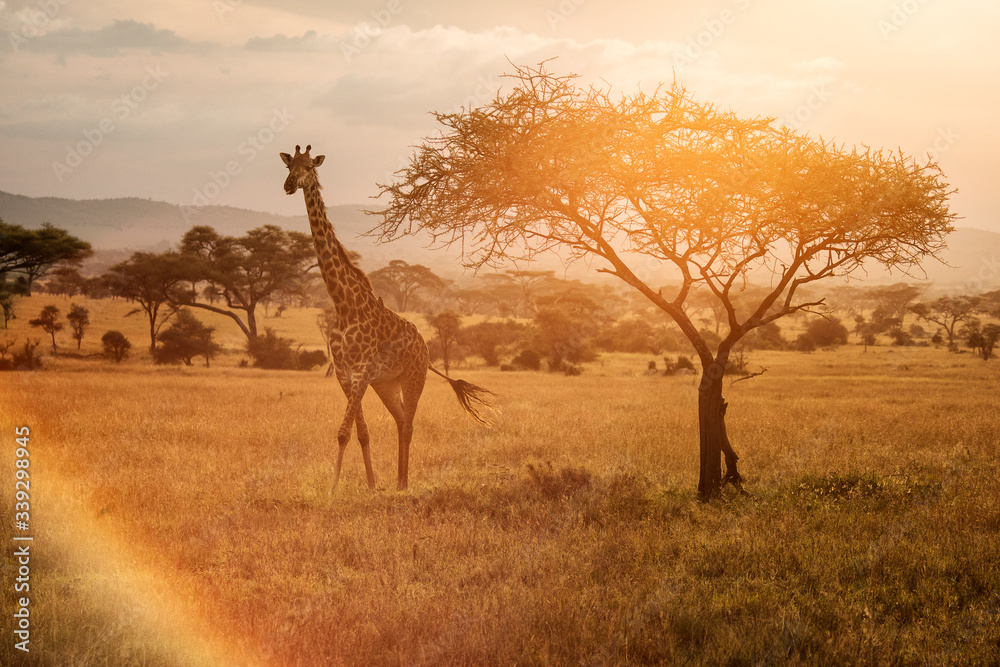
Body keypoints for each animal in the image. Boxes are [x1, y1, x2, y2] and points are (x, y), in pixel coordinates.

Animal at [282, 145, 492, 490]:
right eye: (289, 166)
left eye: (309, 167)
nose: (288, 185)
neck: (343, 304)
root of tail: (425, 347)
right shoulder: (345, 373)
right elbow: (361, 432)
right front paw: (369, 484)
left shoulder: (362, 370)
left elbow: (343, 432)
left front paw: (333, 489)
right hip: (387, 384)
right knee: (400, 419)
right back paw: (398, 481)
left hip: (414, 378)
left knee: (408, 424)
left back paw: (403, 485)